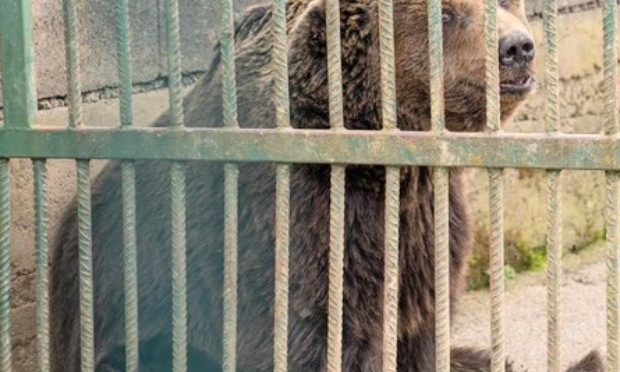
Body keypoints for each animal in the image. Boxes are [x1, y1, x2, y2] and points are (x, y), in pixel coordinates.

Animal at [50, 0, 604, 370]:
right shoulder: (293, 219)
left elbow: (422, 332)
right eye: (445, 16)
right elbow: (315, 333)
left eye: (506, 3)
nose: (519, 47)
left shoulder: (427, 227)